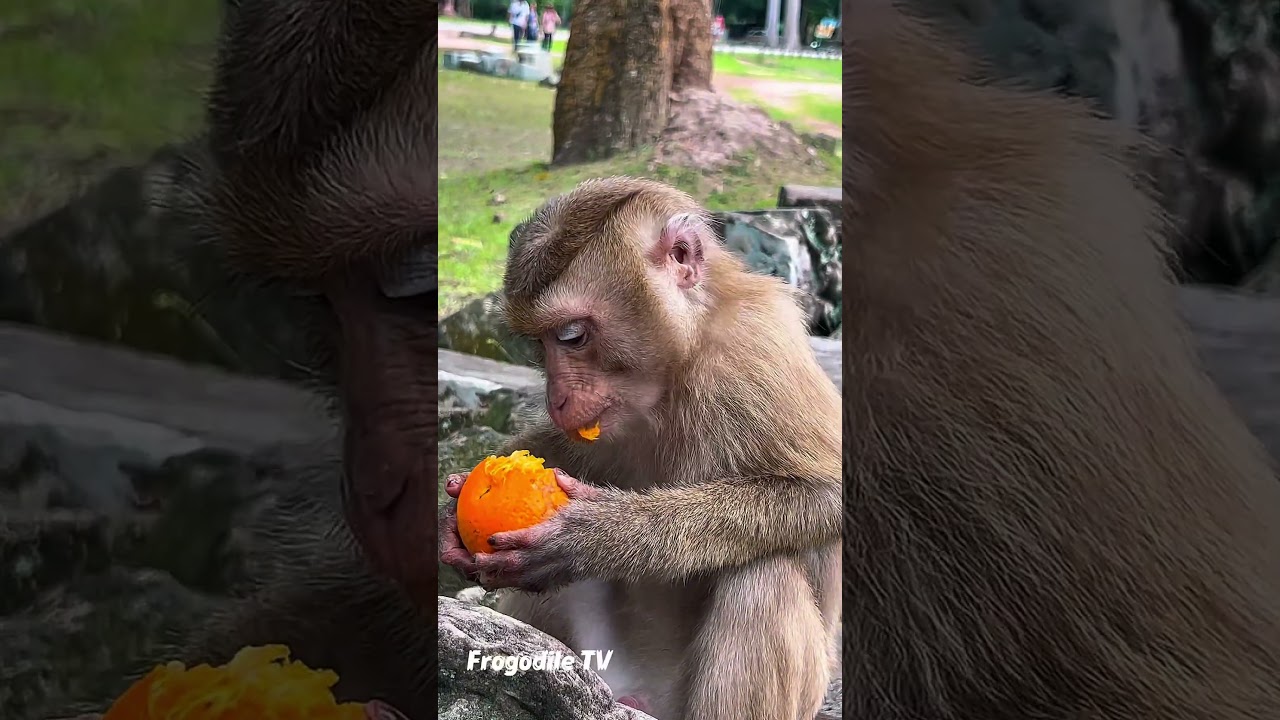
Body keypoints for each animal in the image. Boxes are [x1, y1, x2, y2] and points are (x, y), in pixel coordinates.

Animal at [438, 177, 843, 720]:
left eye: (572, 336)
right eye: (540, 344)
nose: (556, 398)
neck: (679, 366)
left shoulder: (759, 349)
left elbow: (827, 491)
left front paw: (595, 536)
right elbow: (570, 449)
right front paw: (451, 509)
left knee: (764, 575)